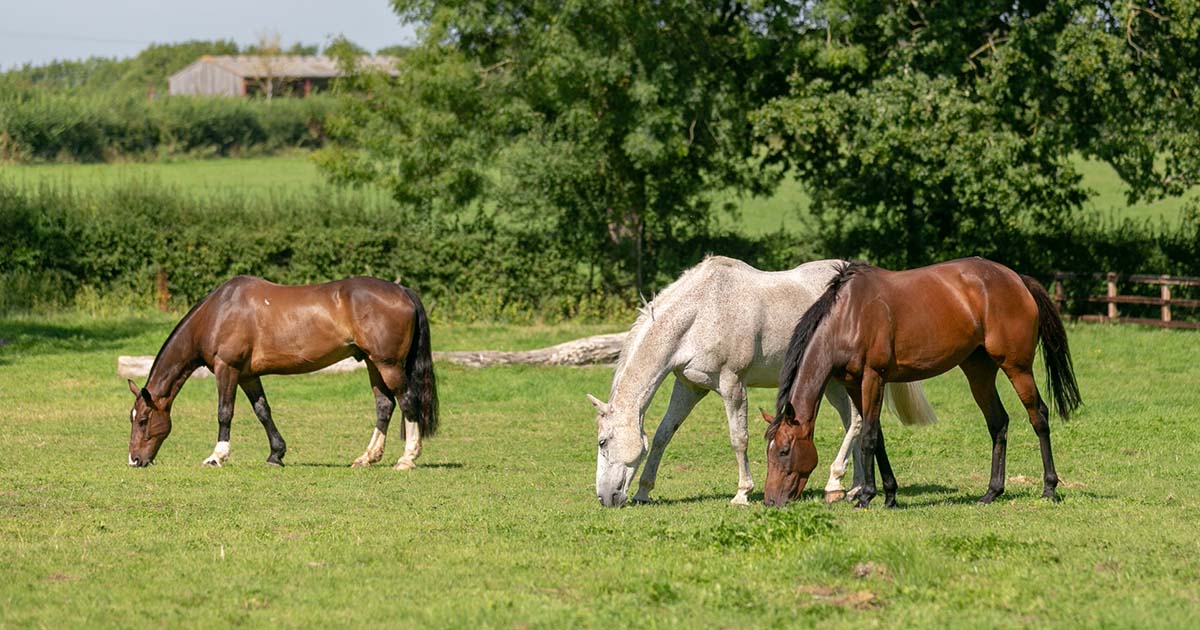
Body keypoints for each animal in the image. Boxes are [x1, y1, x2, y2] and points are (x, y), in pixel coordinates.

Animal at [124, 273, 441, 465]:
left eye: (143, 420)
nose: (135, 460)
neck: (218, 313)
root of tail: (402, 290)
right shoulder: (248, 375)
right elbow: (263, 411)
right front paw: (276, 454)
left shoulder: (228, 369)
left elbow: (225, 412)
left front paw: (217, 456)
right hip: (373, 363)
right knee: (385, 405)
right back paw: (367, 457)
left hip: (389, 365)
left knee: (407, 402)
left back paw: (407, 459)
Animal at [588, 255, 936, 506]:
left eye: (602, 441)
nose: (604, 498)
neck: (703, 310)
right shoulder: (690, 386)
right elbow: (663, 435)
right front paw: (644, 492)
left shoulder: (732, 384)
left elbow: (738, 438)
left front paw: (742, 493)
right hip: (835, 382)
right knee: (856, 421)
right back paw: (852, 488)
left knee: (856, 423)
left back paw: (835, 483)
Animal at [763, 255, 1084, 506]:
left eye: (784, 450)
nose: (770, 501)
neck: (849, 317)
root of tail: (1018, 279)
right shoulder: (855, 384)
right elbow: (877, 436)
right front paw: (890, 495)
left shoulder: (873, 378)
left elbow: (868, 437)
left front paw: (866, 496)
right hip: (978, 372)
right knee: (998, 422)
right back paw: (992, 492)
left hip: (1017, 367)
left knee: (1038, 416)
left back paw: (1049, 488)